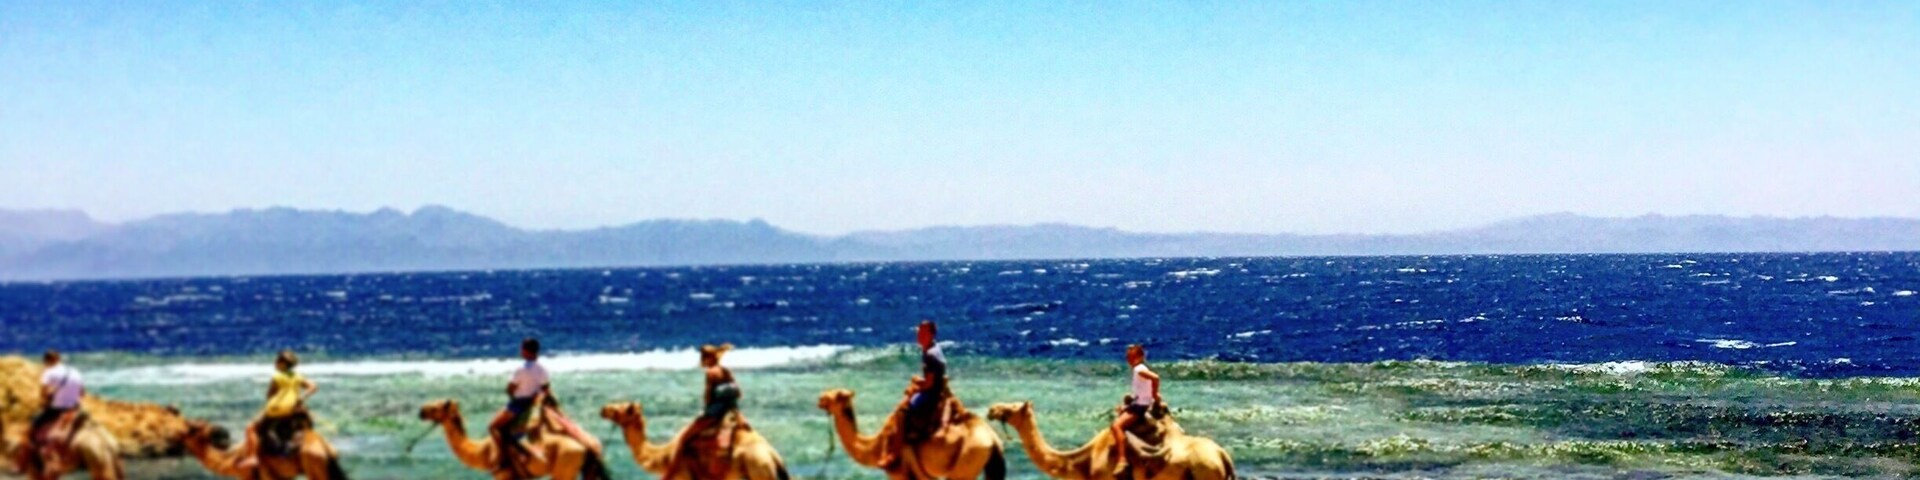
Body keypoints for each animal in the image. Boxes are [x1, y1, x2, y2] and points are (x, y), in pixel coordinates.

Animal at [416, 399, 609, 480]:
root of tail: (588, 445)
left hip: (564, 466)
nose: (421, 411)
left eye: (436, 407)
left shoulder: (504, 475)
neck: (484, 451)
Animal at [599, 401, 790, 480]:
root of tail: (773, 456)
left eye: (621, 408)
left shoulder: (684, 476)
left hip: (759, 470)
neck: (666, 456)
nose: (604, 409)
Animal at [815, 388, 1005, 480]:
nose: (820, 399)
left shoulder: (900, 474)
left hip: (966, 461)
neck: (876, 445)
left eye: (836, 394)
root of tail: (994, 439)